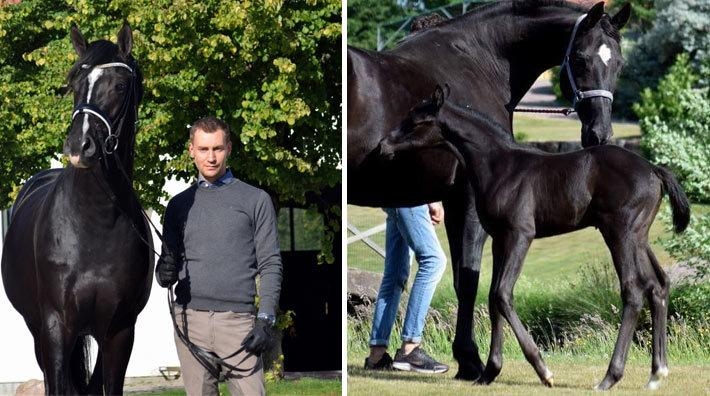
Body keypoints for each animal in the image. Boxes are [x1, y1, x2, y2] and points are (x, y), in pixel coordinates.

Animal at [0, 24, 152, 392]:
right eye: (74, 84)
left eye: (120, 85)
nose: (78, 146)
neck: (95, 222)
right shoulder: (56, 326)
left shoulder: (120, 330)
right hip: (37, 329)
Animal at [348, 0, 632, 378]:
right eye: (581, 58)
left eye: (619, 63)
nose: (599, 134)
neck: (477, 61)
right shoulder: (467, 200)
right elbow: (468, 280)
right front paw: (470, 360)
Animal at [386, 86, 692, 390]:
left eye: (416, 120)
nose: (384, 145)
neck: (499, 166)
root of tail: (654, 170)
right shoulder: (499, 240)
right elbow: (493, 297)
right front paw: (490, 372)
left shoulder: (520, 235)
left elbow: (502, 294)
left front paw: (543, 370)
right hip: (639, 237)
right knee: (658, 285)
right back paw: (657, 373)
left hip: (620, 234)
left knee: (633, 290)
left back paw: (609, 377)